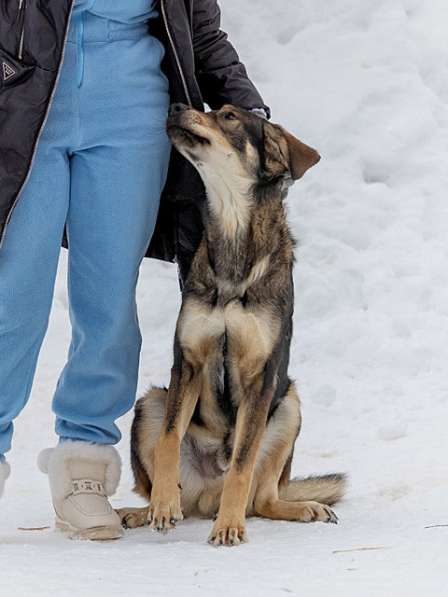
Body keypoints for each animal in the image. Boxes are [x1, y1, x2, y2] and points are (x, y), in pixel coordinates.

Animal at [116, 103, 346, 544]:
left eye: (228, 116)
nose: (175, 106)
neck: (233, 232)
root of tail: (208, 494)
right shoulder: (186, 363)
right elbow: (169, 440)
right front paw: (164, 504)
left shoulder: (261, 378)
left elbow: (241, 462)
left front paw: (229, 527)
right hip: (150, 403)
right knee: (170, 491)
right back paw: (143, 511)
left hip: (289, 406)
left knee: (263, 498)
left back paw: (298, 507)